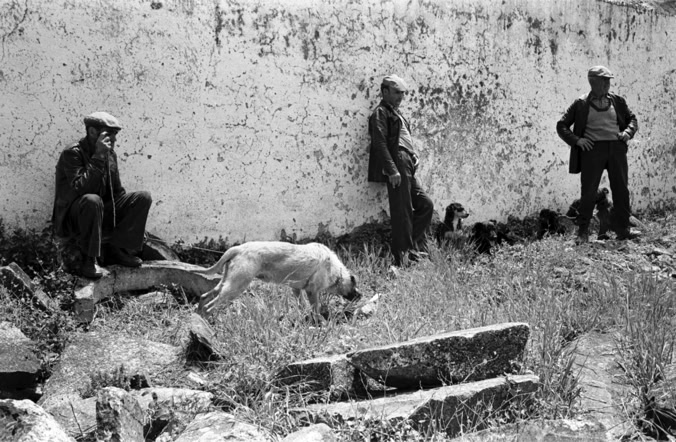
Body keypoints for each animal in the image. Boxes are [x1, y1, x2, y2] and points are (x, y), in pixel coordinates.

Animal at [196, 241, 362, 320]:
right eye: (354, 287)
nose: (361, 296)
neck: (335, 270)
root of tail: (238, 248)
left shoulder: (297, 289)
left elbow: (302, 306)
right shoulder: (312, 291)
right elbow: (316, 308)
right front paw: (319, 321)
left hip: (226, 283)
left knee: (204, 297)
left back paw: (199, 319)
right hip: (236, 287)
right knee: (210, 307)